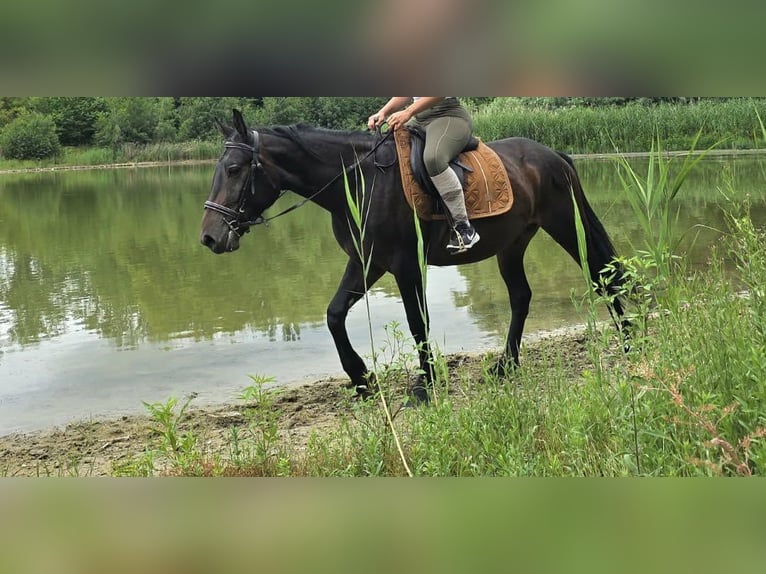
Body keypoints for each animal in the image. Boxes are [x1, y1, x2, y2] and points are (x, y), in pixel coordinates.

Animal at [200, 109, 629, 402]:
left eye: (234, 168)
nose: (209, 236)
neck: (360, 182)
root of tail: (553, 155)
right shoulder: (367, 263)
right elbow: (335, 314)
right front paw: (362, 380)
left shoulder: (405, 265)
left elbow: (416, 322)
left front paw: (424, 385)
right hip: (512, 244)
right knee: (522, 297)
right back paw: (505, 366)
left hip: (566, 226)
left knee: (602, 278)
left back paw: (629, 341)